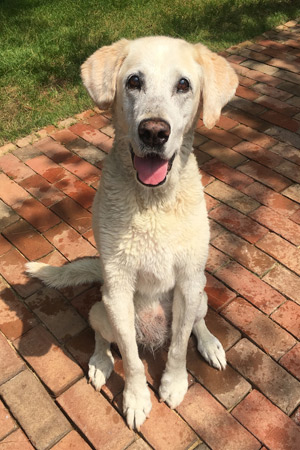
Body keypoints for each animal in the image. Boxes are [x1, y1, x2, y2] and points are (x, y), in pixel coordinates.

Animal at [27, 35, 238, 428]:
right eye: (134, 81)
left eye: (183, 85)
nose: (154, 132)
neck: (154, 202)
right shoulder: (119, 293)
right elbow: (133, 360)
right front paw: (137, 399)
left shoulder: (189, 282)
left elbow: (178, 348)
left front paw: (174, 384)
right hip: (103, 307)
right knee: (102, 336)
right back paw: (99, 363)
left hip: (200, 293)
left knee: (196, 323)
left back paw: (210, 344)